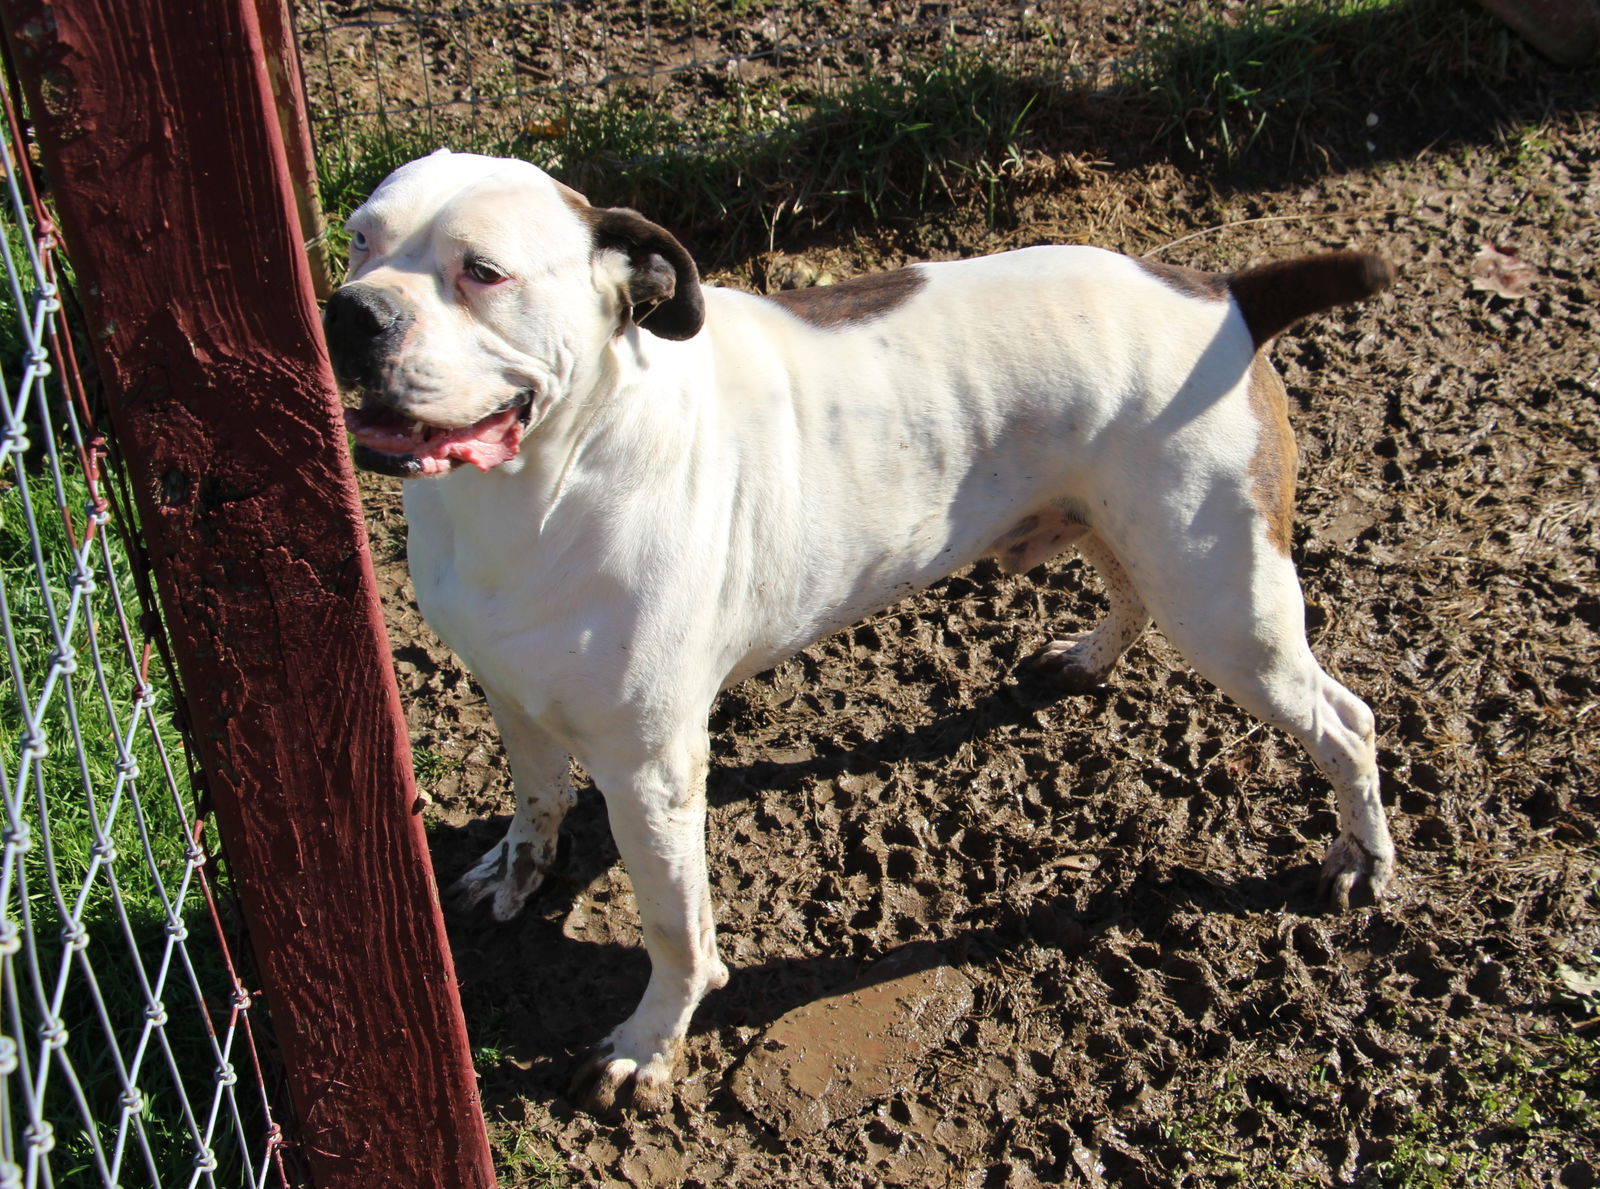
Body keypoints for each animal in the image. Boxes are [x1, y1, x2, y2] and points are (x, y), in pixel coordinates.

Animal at [321, 148, 1388, 1113]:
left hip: (1227, 603)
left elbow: (675, 929)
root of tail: (1223, 293)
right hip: (1134, 532)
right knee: (1132, 590)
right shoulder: (509, 692)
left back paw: (1361, 858)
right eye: (359, 239)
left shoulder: (651, 770)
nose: (348, 312)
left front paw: (648, 1045)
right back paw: (1088, 656)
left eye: (484, 271)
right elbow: (537, 797)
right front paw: (517, 869)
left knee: (1347, 721)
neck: (537, 482)